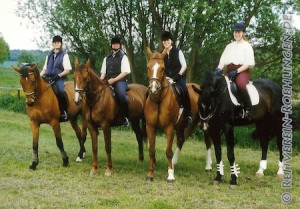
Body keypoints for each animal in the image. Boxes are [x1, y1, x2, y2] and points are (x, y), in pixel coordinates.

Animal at [145, 46, 211, 182]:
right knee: (181, 140)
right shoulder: (150, 127)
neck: (159, 99)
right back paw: (173, 163)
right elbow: (152, 150)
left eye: (162, 68)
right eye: (148, 67)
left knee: (207, 141)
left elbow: (168, 151)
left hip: (204, 123)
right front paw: (150, 174)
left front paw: (170, 175)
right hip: (182, 125)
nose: (154, 88)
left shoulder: (169, 128)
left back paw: (208, 166)